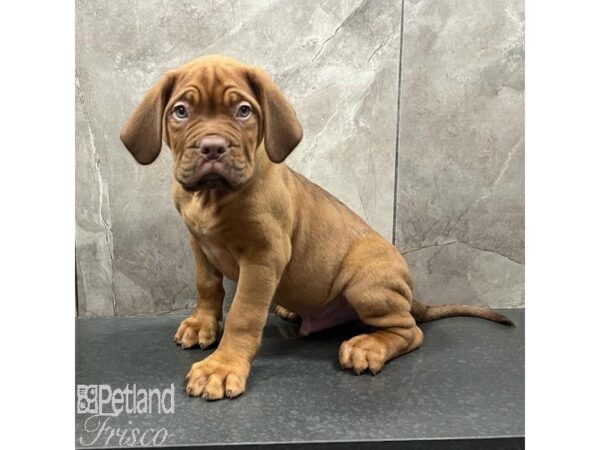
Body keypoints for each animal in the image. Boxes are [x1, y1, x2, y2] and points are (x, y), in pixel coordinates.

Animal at [120, 56, 510, 400]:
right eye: (180, 111)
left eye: (243, 111)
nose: (213, 147)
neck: (212, 196)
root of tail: (412, 296)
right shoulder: (199, 244)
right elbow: (207, 286)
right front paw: (202, 325)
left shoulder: (263, 258)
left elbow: (244, 314)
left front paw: (223, 366)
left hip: (367, 283)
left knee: (408, 330)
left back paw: (369, 346)